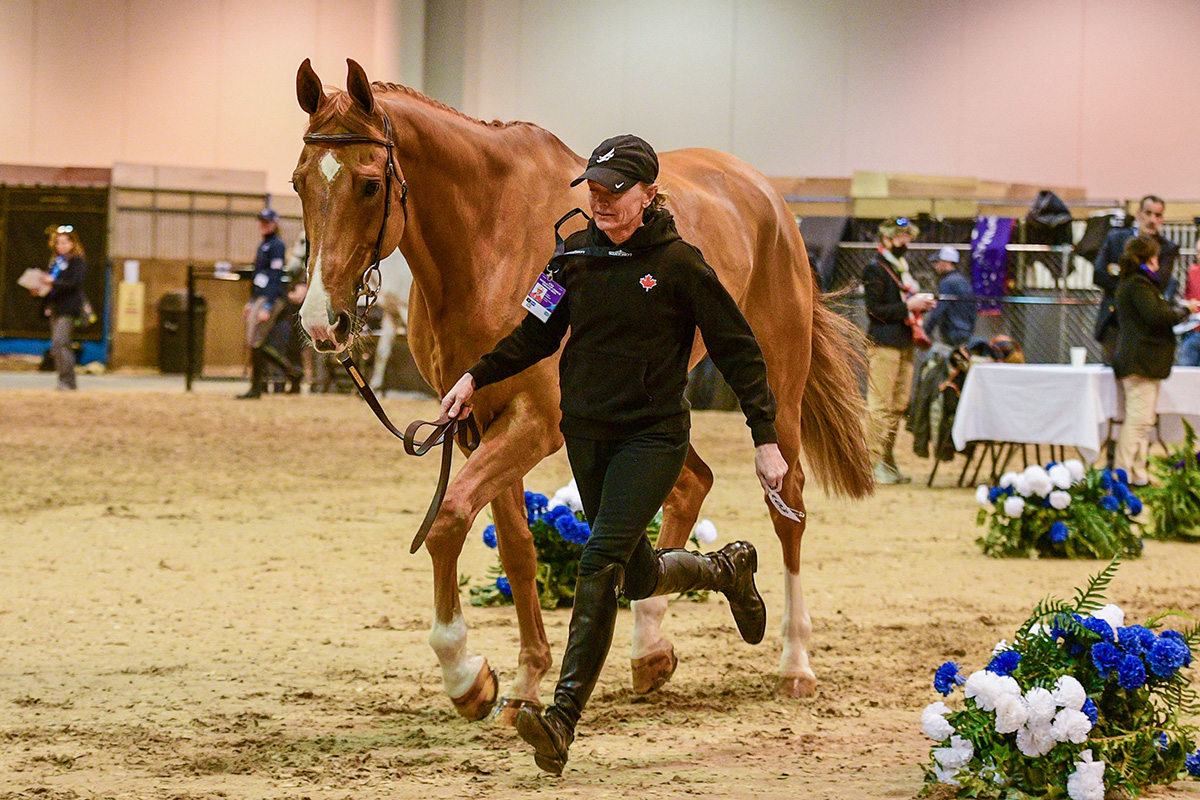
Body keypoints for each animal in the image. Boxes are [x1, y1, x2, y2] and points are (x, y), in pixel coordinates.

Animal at [291, 59, 873, 724]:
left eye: (367, 185)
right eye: (298, 184)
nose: (321, 322)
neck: (487, 238)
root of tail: (770, 197)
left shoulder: (537, 423)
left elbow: (449, 520)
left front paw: (466, 675)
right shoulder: (474, 424)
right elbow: (517, 550)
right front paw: (523, 681)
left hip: (777, 383)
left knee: (787, 506)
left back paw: (795, 663)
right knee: (689, 488)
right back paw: (650, 650)